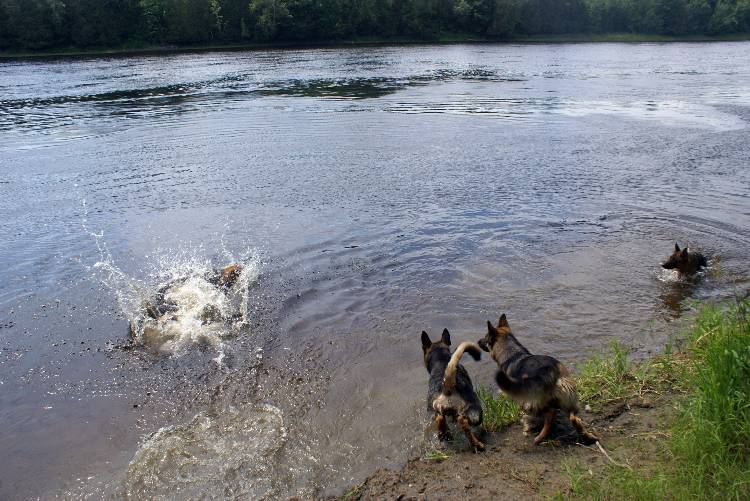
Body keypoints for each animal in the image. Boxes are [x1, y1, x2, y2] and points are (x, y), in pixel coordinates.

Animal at [482, 314, 600, 444]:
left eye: (485, 338)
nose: (478, 342)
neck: (513, 354)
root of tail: (550, 370)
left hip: (532, 400)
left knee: (550, 414)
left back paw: (540, 436)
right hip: (568, 397)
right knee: (574, 418)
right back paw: (588, 436)